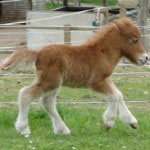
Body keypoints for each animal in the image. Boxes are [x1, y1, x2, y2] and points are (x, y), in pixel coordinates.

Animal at [0, 17, 149, 135]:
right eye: (134, 40)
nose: (145, 58)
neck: (102, 53)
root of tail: (38, 54)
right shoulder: (96, 82)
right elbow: (115, 96)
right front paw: (109, 122)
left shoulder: (106, 79)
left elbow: (119, 95)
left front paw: (132, 122)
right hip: (50, 81)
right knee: (25, 95)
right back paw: (24, 129)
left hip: (54, 83)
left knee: (47, 102)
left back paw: (63, 130)